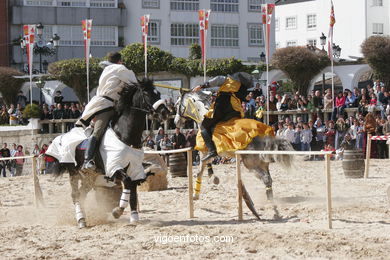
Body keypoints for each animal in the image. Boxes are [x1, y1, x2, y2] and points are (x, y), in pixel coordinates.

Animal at [52, 79, 169, 228]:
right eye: (147, 94)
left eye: (158, 93)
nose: (165, 113)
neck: (125, 135)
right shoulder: (114, 168)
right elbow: (127, 182)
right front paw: (117, 211)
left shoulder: (134, 169)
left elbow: (132, 191)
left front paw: (134, 218)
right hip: (73, 172)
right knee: (76, 195)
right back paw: (81, 220)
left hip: (90, 177)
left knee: (82, 193)